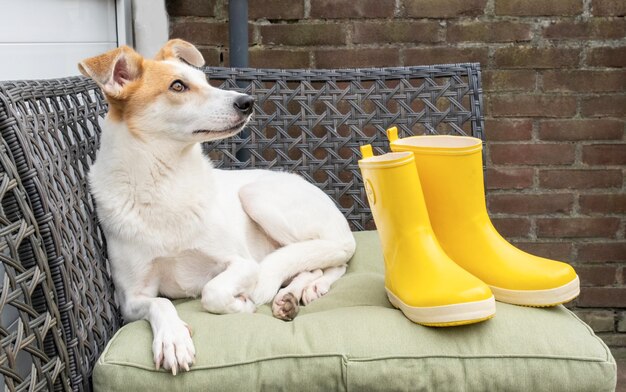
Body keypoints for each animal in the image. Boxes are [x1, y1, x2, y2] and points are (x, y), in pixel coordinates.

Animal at [77, 41, 356, 376]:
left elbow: (212, 292)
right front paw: (173, 339)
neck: (165, 184)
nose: (247, 101)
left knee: (333, 256)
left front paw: (241, 304)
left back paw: (307, 287)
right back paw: (291, 295)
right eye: (178, 86)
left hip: (258, 195)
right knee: (315, 262)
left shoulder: (243, 263)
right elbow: (161, 303)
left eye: (205, 80)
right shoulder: (131, 299)